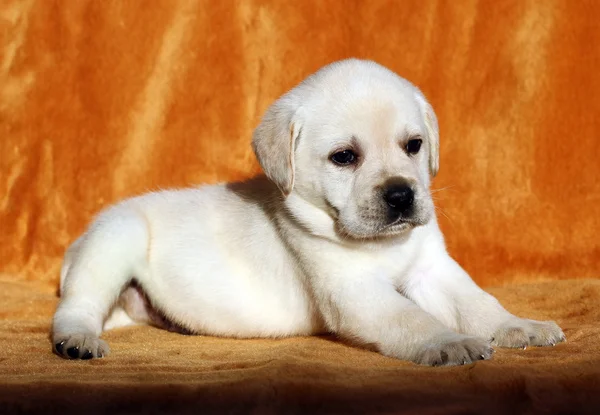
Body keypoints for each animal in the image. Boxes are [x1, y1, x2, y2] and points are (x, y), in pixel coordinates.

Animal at [50, 57, 564, 364]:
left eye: (413, 146)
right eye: (344, 157)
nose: (401, 195)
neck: (378, 244)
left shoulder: (432, 270)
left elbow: (477, 302)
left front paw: (518, 326)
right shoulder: (355, 291)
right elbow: (411, 318)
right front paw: (449, 342)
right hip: (113, 243)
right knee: (77, 307)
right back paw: (76, 341)